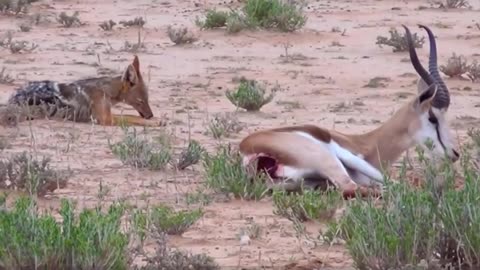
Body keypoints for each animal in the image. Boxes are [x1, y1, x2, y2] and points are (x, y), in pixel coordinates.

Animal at [238, 24, 460, 198]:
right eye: (433, 117)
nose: (455, 153)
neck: (368, 143)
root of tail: (249, 148)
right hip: (328, 161)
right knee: (353, 188)